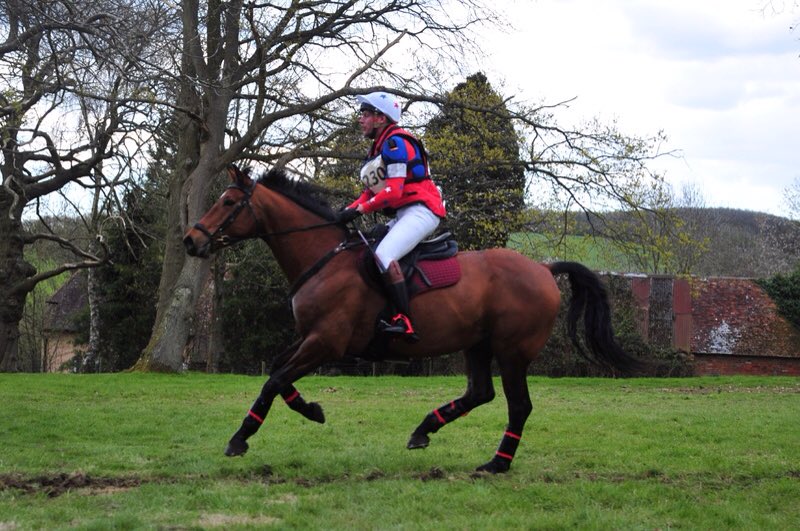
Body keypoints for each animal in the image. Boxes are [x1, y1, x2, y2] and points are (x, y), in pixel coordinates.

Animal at [183, 165, 642, 473]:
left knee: (518, 406)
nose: (190, 241)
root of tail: (544, 269)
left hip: (511, 352)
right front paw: (312, 410)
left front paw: (239, 439)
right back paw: (425, 430)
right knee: (480, 393)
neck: (324, 259)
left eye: (228, 203)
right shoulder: (310, 338)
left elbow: (274, 380)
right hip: (477, 344)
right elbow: (278, 374)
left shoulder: (326, 342)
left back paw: (497, 463)